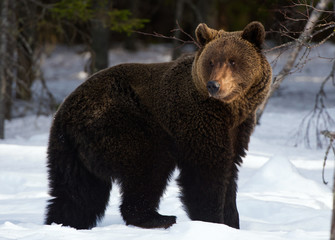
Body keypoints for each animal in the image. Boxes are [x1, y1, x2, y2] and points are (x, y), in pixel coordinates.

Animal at [44, 21, 272, 230]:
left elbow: (231, 169)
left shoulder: (237, 129)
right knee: (149, 166)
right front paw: (213, 221)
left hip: (68, 151)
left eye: (233, 61)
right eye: (211, 61)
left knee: (77, 193)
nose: (214, 85)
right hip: (124, 124)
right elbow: (204, 173)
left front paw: (233, 222)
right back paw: (157, 218)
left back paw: (63, 222)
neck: (229, 111)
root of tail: (66, 112)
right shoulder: (197, 121)